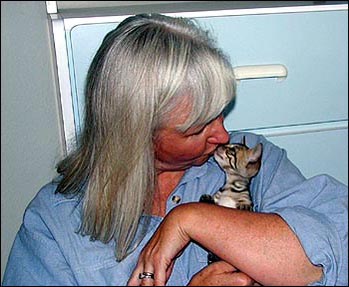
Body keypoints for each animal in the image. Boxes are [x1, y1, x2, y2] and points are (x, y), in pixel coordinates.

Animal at [198, 136, 260, 264]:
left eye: (232, 150)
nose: (218, 145)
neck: (229, 187)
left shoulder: (246, 198)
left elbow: (246, 204)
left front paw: (244, 206)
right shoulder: (217, 198)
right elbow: (213, 200)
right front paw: (206, 198)